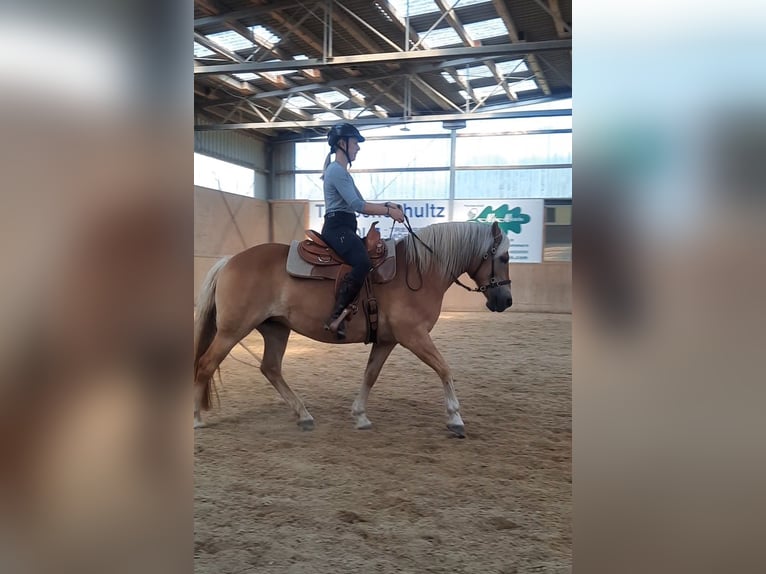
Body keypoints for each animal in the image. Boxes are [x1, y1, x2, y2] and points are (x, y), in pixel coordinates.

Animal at [195, 219, 512, 436]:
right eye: (504, 257)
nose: (506, 300)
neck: (419, 271)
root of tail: (230, 261)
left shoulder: (387, 340)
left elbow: (370, 375)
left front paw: (360, 415)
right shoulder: (414, 336)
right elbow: (444, 369)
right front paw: (455, 418)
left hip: (276, 329)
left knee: (270, 368)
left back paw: (303, 414)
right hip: (232, 330)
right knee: (205, 365)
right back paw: (197, 417)